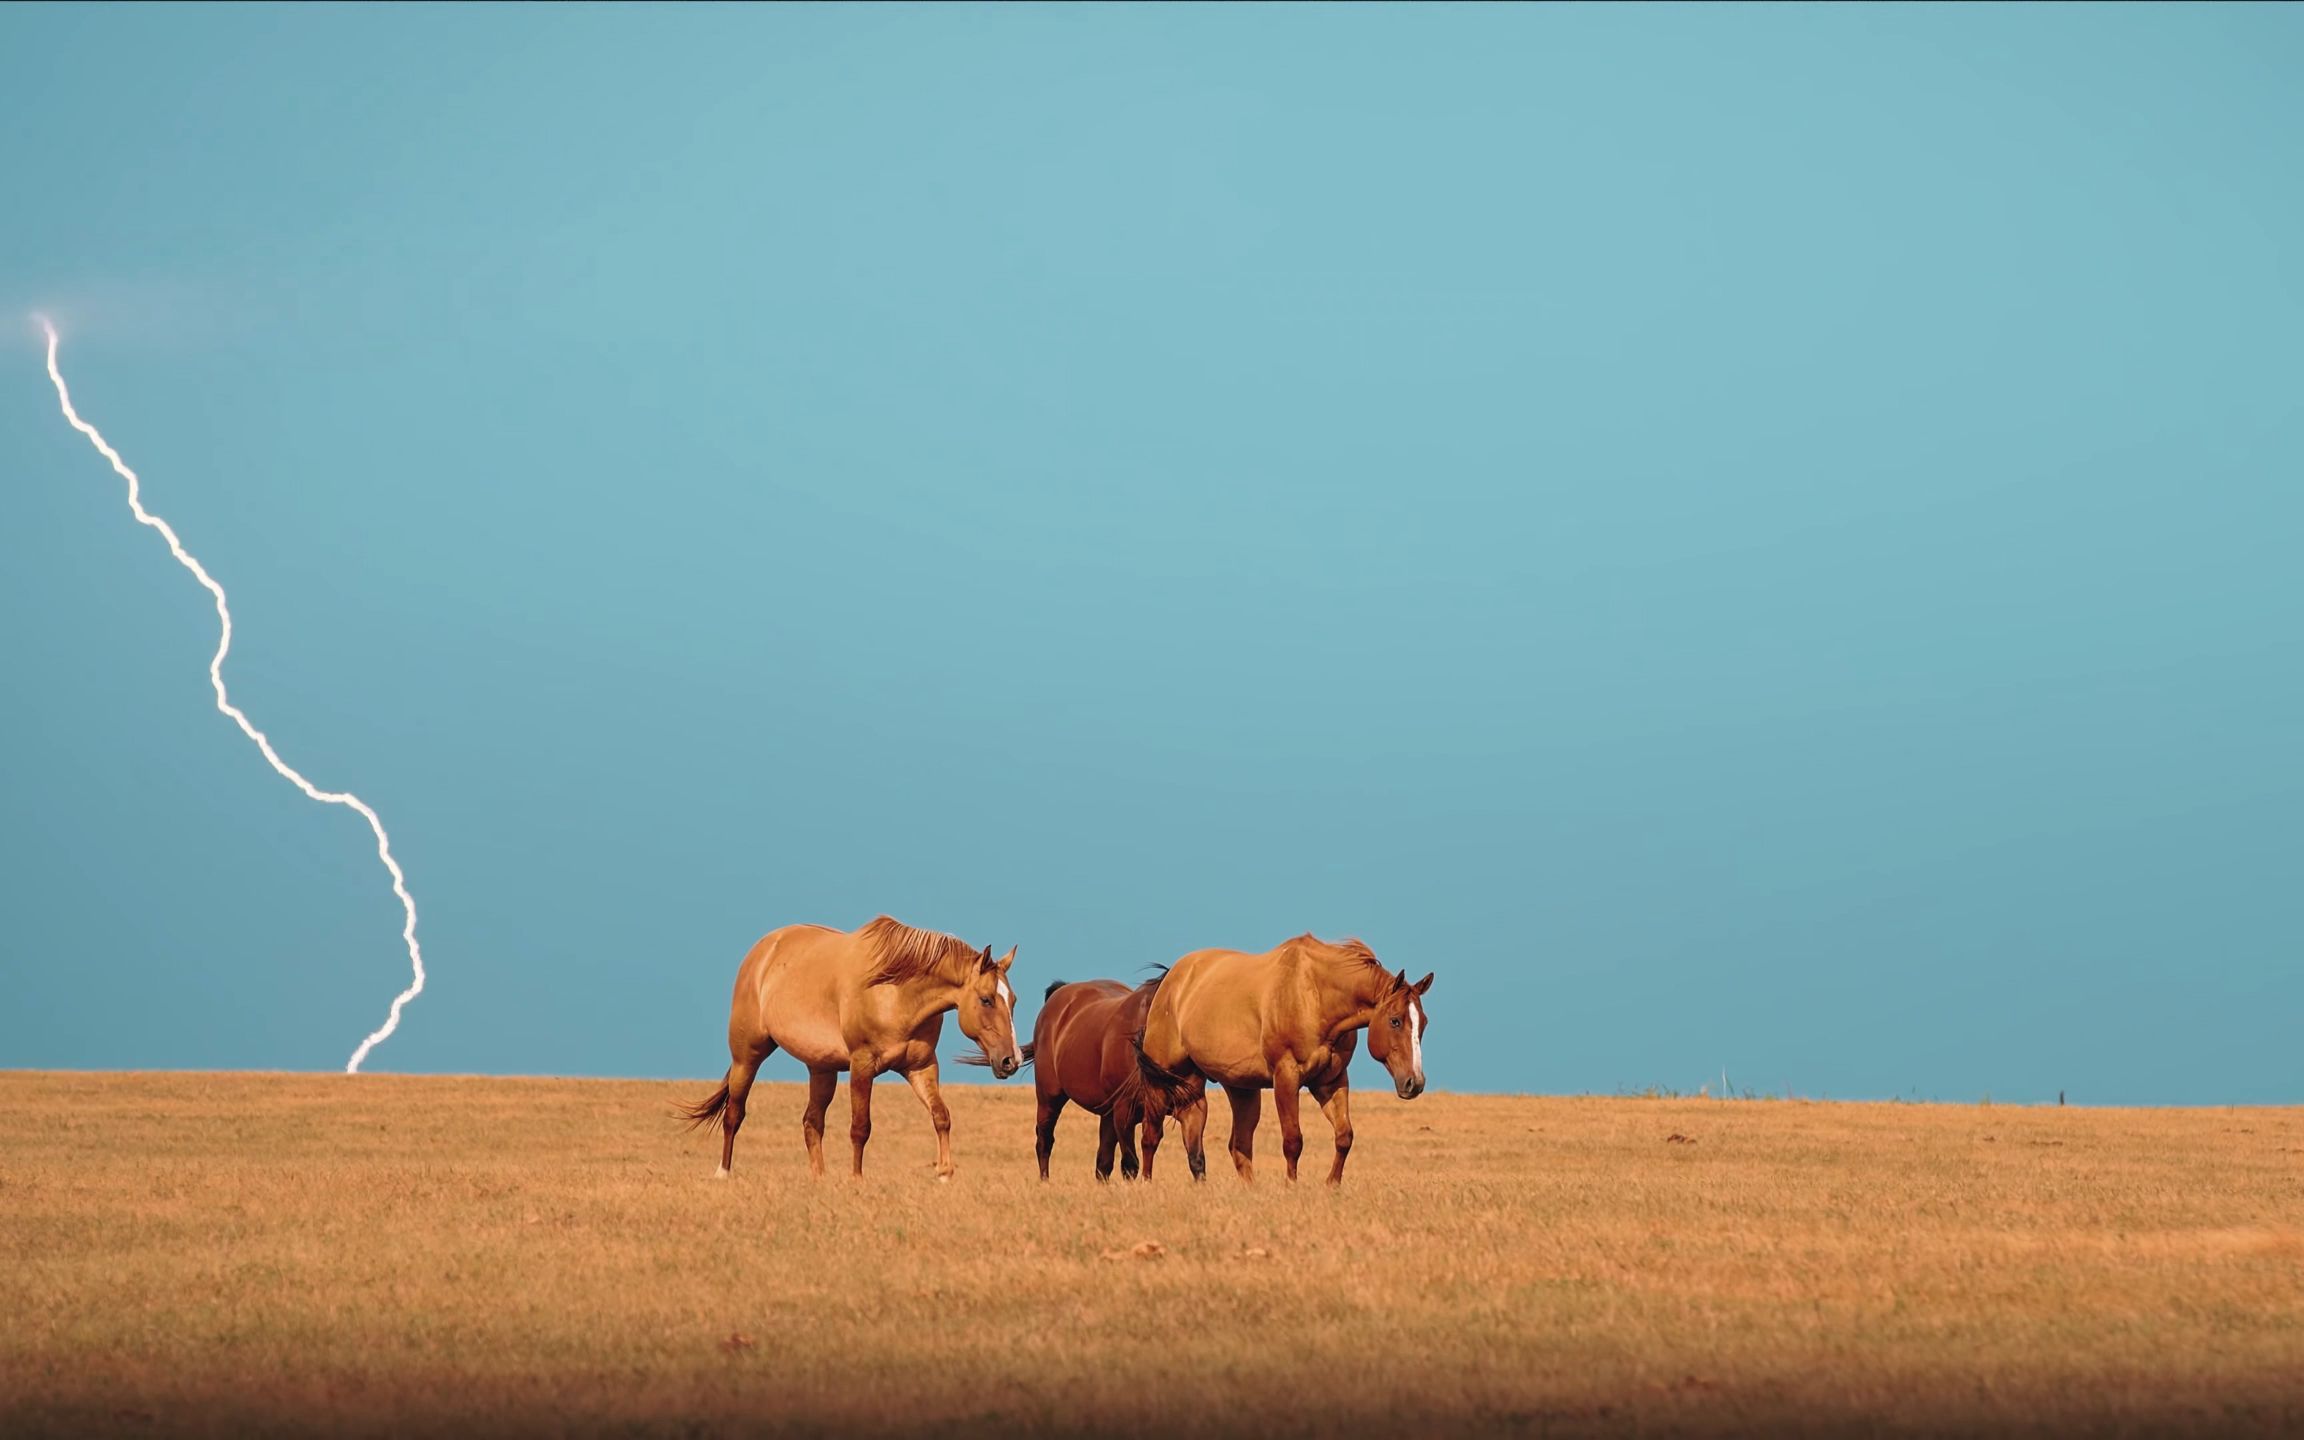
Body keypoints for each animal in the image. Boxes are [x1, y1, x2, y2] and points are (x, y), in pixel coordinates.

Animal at [672, 916, 1018, 1175]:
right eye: (986, 999)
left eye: (1013, 1000)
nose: (1010, 1061)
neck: (895, 992)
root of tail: (762, 952)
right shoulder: (862, 1066)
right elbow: (860, 1128)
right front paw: (856, 1179)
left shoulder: (921, 1067)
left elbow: (941, 1116)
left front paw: (944, 1173)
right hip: (747, 1056)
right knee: (734, 1113)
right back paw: (723, 1172)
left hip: (820, 1068)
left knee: (812, 1123)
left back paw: (820, 1179)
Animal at [1018, 976, 1216, 1179]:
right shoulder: (1124, 1110)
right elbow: (1131, 1162)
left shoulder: (1191, 1107)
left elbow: (1195, 1159)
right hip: (1049, 1099)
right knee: (1044, 1142)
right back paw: (1044, 1180)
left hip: (1107, 1114)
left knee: (1102, 1163)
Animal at [1128, 940, 1428, 1188]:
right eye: (1395, 1020)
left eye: (1423, 1023)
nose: (1414, 1083)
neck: (1314, 995)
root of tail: (1172, 980)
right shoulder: (1286, 1077)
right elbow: (1293, 1140)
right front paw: (1291, 1186)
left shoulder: (1331, 1081)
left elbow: (1344, 1136)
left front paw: (1332, 1184)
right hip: (1159, 1083)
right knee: (1150, 1137)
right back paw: (1147, 1183)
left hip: (1227, 1089)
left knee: (1228, 1144)